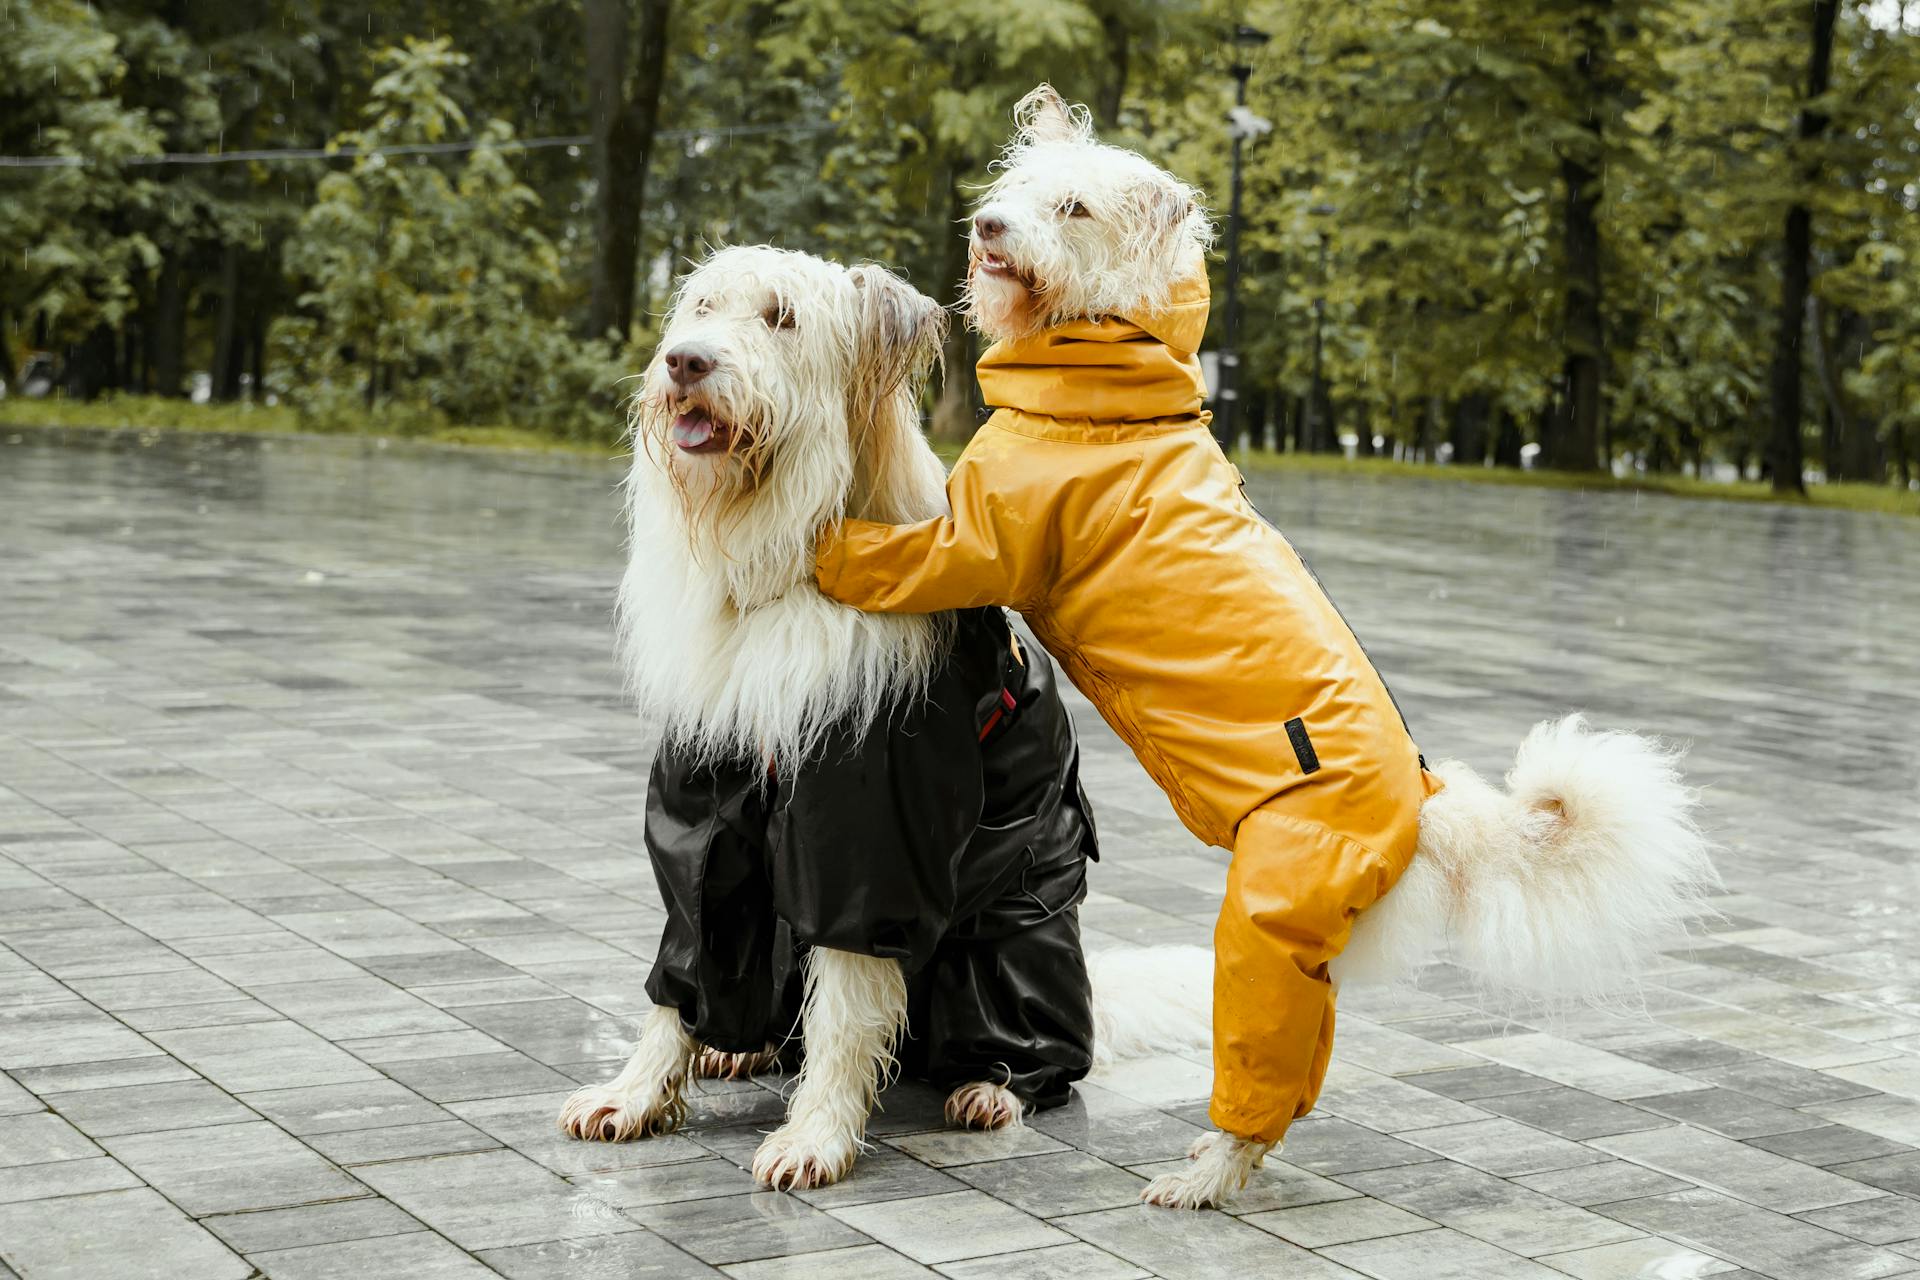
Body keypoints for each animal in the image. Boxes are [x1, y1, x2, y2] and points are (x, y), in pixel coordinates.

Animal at [810, 82, 1728, 1212]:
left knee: (1257, 1068)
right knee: (1298, 1080)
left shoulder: (988, 539)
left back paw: (1201, 1173)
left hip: (1265, 918)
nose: (987, 229)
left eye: (1071, 208)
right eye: (1012, 190)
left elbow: (917, 552)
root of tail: (1429, 804)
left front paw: (827, 547)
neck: (1113, 386)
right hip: (1302, 946)